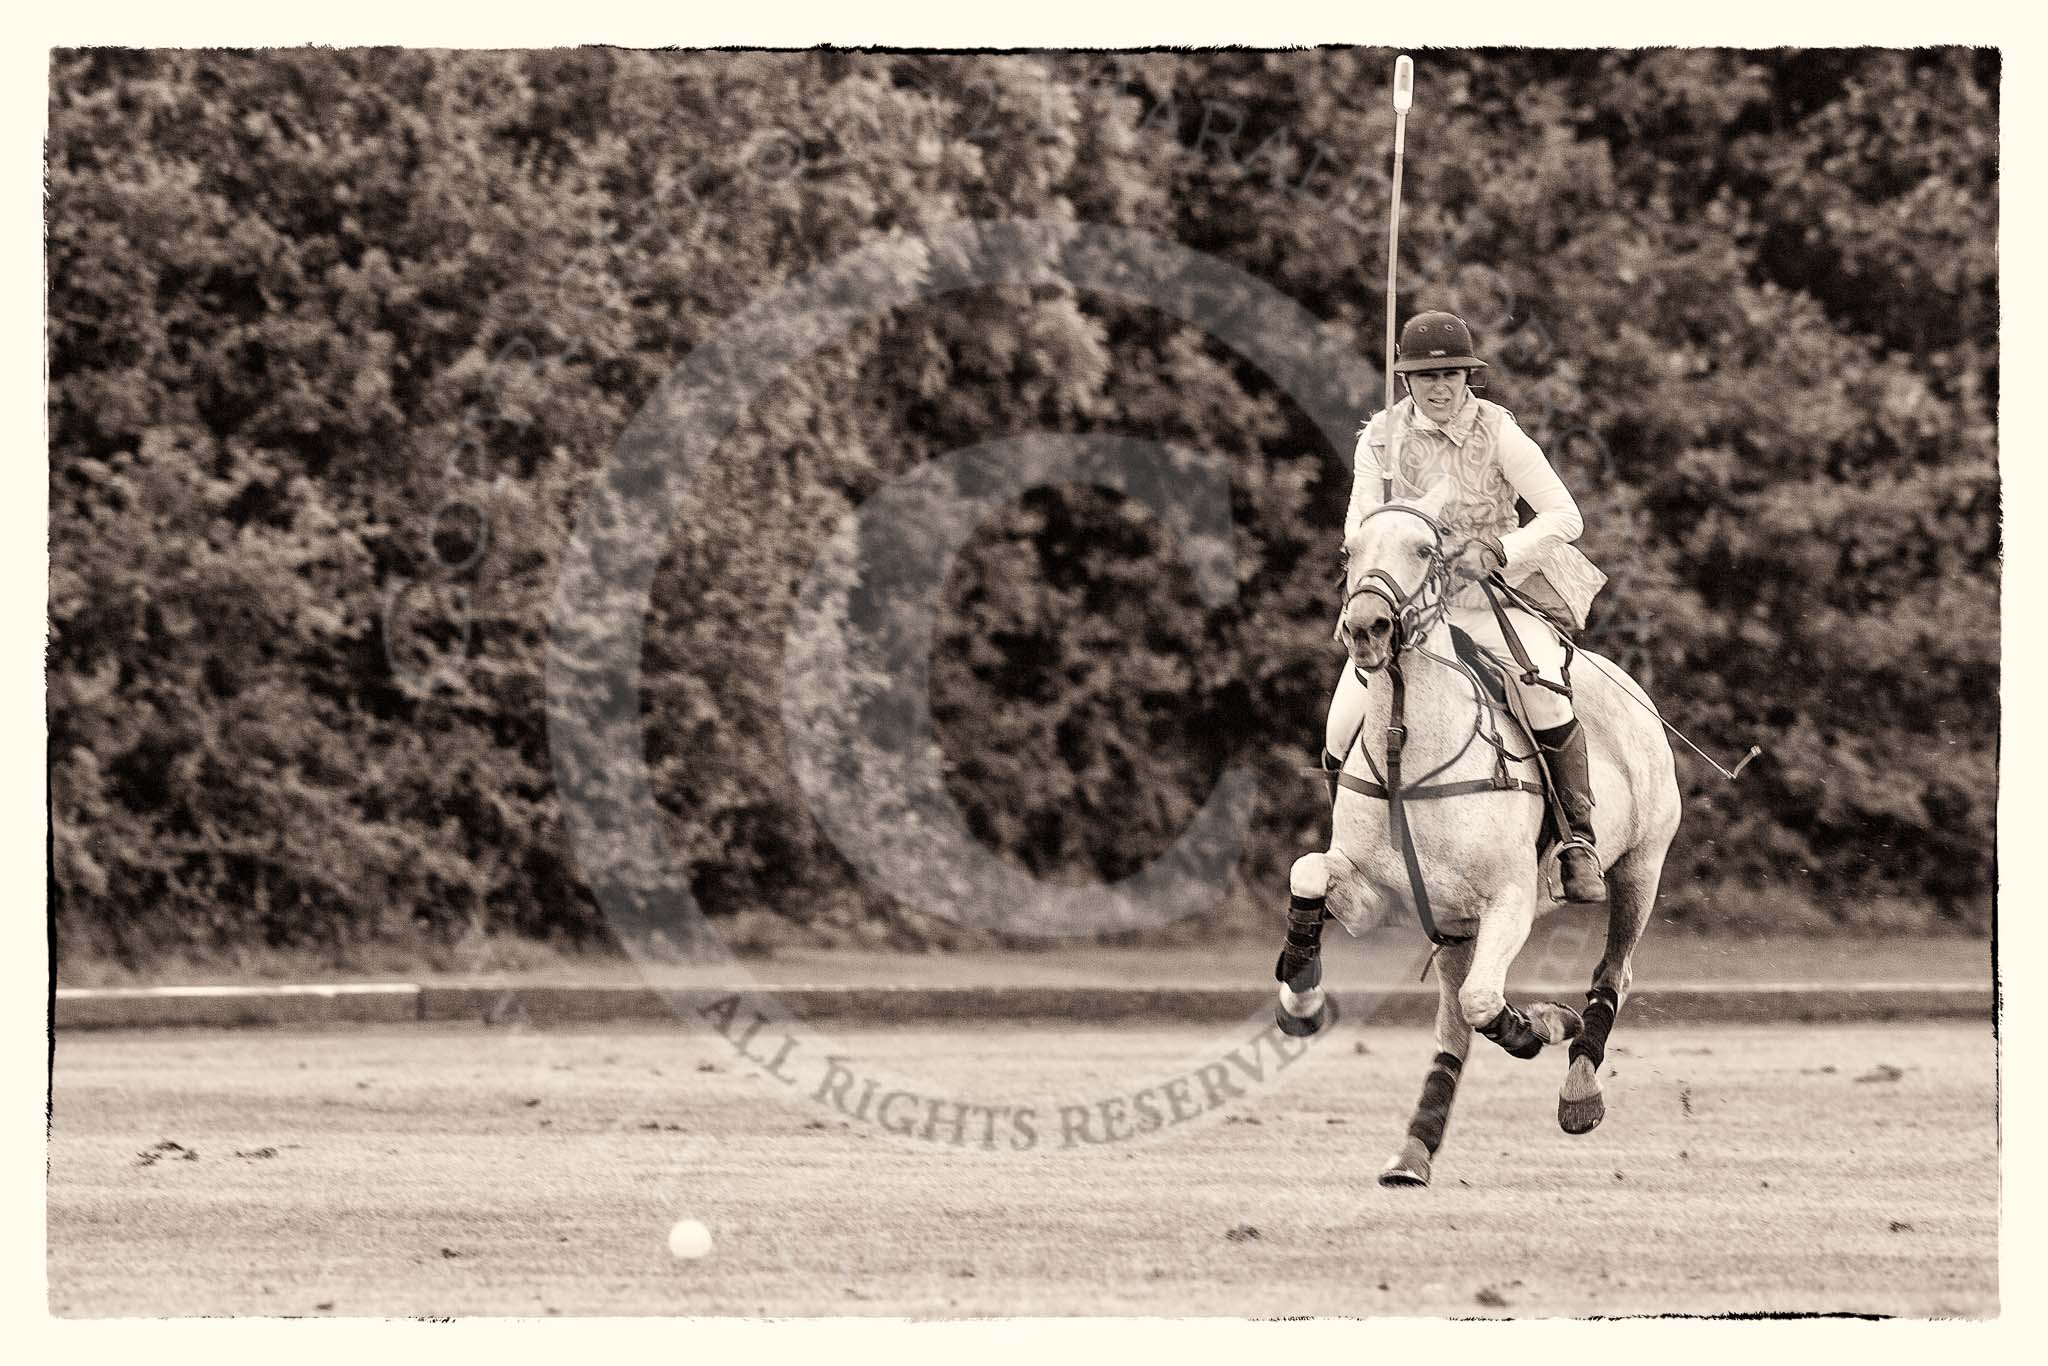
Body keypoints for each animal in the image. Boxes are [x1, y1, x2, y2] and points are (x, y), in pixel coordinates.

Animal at [1277, 481, 1679, 1187]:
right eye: (1349, 550)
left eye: (1425, 547)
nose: (1366, 628)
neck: (1408, 745)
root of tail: (1629, 685)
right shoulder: (1385, 900)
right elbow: (1309, 871)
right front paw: (1300, 1001)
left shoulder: (1509, 901)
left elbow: (1487, 1000)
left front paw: (1542, 1025)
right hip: (1455, 928)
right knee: (1452, 1028)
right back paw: (1414, 1152)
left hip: (1641, 866)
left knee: (1613, 971)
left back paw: (1579, 1088)